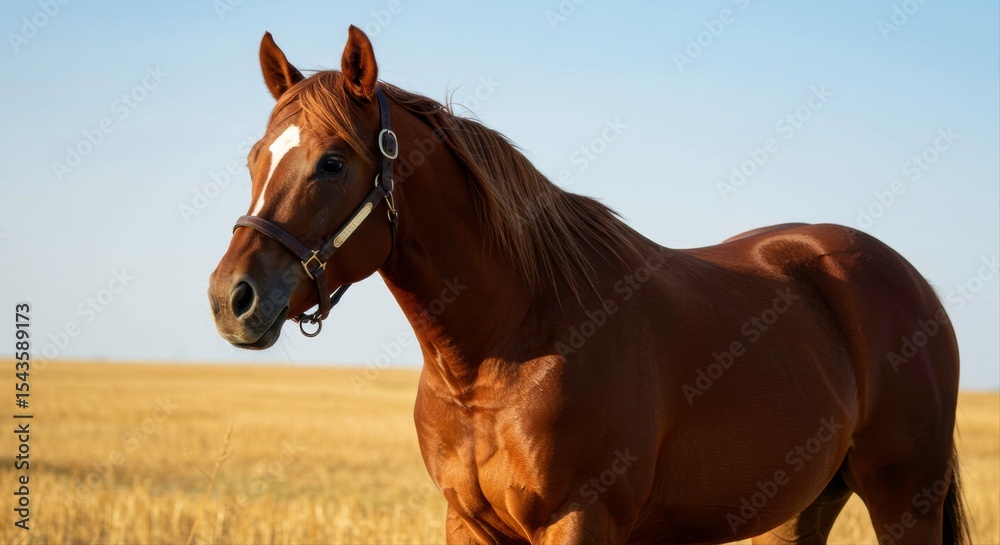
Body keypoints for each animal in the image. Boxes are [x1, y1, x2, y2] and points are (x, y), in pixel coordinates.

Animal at [208, 26, 969, 544]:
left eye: (333, 162)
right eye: (254, 157)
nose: (231, 298)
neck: (498, 354)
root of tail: (909, 280)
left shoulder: (580, 520)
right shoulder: (467, 523)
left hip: (905, 498)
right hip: (799, 507)